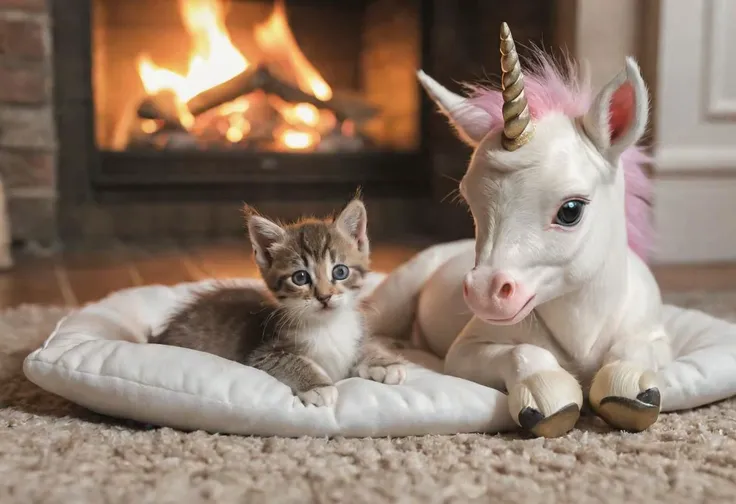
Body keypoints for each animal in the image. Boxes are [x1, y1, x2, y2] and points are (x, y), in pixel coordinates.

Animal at [147, 197, 406, 406]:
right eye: (300, 277)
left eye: (340, 271)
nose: (324, 296)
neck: (327, 326)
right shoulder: (261, 354)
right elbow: (290, 360)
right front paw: (317, 386)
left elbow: (363, 345)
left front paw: (383, 362)